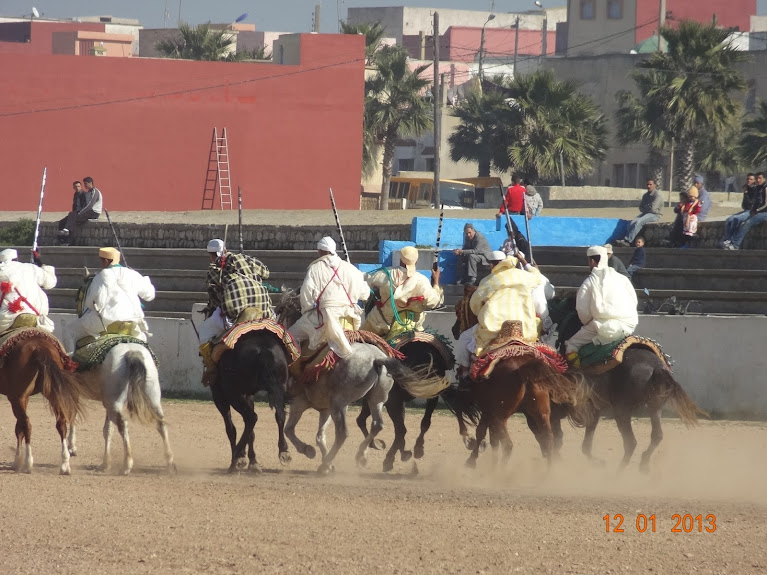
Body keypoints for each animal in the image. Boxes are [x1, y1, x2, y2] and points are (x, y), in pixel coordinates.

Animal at [0, 328, 87, 476]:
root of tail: (40, 347)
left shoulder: (18, 397)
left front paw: (18, 461)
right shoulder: (26, 397)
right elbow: (19, 428)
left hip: (17, 397)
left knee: (27, 424)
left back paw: (28, 463)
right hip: (51, 393)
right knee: (60, 423)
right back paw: (65, 464)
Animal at [67, 344, 176, 474]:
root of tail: (132, 352)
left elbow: (74, 417)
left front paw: (72, 447)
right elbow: (108, 430)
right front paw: (105, 464)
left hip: (114, 404)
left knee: (124, 424)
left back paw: (126, 465)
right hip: (150, 398)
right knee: (161, 424)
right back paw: (170, 463)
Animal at [208, 326, 292, 474]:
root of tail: (264, 350)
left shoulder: (220, 396)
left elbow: (231, 429)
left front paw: (241, 460)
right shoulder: (249, 395)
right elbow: (251, 432)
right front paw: (253, 462)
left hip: (234, 394)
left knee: (251, 418)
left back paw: (237, 458)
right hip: (279, 387)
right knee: (279, 415)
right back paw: (283, 452)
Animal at [274, 292, 448, 476]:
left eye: (281, 310)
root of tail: (376, 359)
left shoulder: (300, 402)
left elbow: (290, 430)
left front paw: (310, 452)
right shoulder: (324, 408)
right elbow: (320, 436)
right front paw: (328, 462)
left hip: (341, 404)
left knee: (344, 433)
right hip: (376, 400)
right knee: (378, 425)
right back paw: (365, 456)